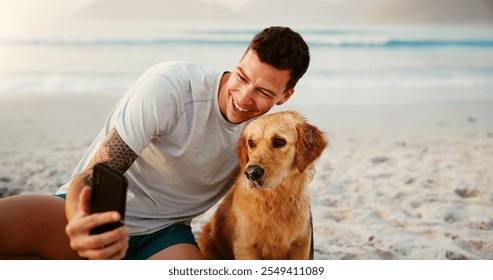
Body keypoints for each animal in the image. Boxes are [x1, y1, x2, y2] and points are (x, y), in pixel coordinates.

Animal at [196, 110, 326, 260]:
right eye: (251, 142)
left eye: (279, 141)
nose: (252, 173)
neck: (275, 201)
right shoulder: (246, 247)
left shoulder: (301, 246)